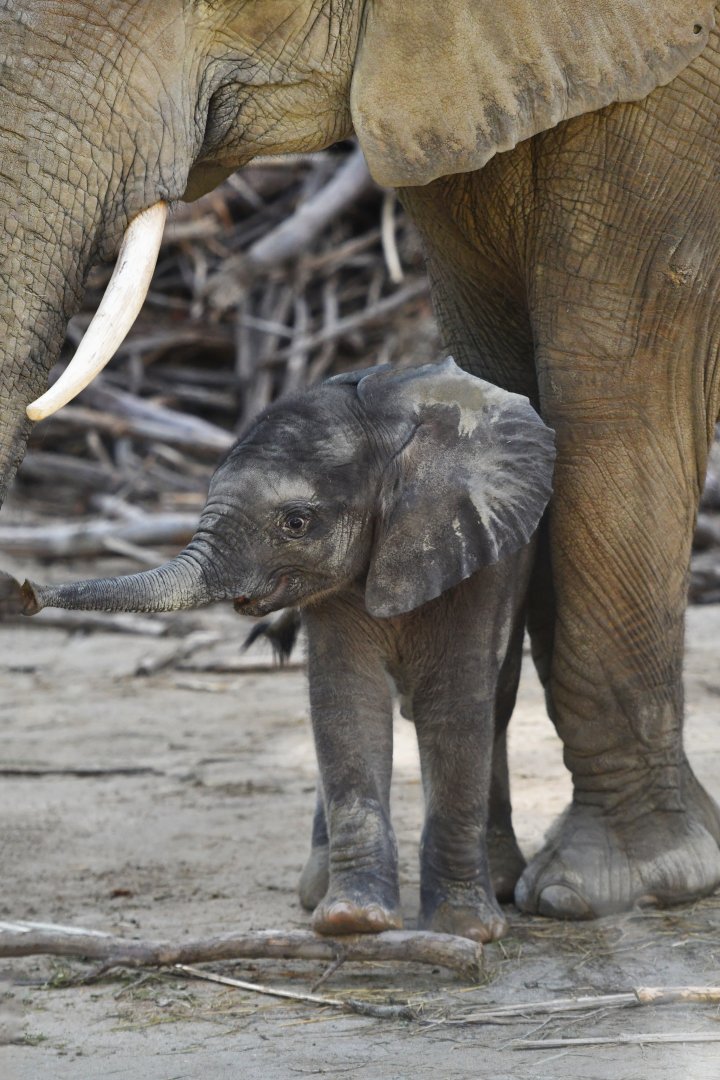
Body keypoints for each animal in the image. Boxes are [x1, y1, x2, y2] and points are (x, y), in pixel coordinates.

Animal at [0, 359, 556, 940]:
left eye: (296, 523)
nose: (27, 590)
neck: (389, 430)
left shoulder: (478, 548)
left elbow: (454, 706)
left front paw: (462, 931)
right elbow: (347, 703)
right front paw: (352, 920)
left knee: (497, 701)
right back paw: (316, 891)